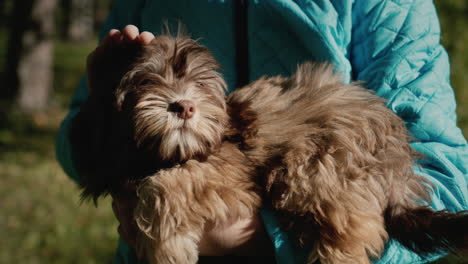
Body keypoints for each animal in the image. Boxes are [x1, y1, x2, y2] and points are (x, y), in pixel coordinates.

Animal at [70, 35, 468, 264]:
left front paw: (167, 248)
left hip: (316, 165)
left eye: (200, 84)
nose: (183, 106)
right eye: (144, 82)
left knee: (351, 226)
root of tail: (400, 164)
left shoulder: (231, 173)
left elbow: (167, 185)